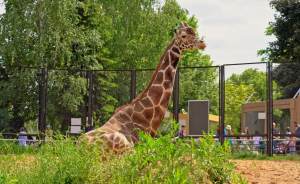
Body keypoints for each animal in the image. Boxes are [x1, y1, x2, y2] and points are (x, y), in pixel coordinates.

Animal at [84, 22, 206, 152]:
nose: (202, 44)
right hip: (125, 146)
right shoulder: (145, 146)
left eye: (194, 32)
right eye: (183, 36)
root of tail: (80, 147)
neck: (147, 117)